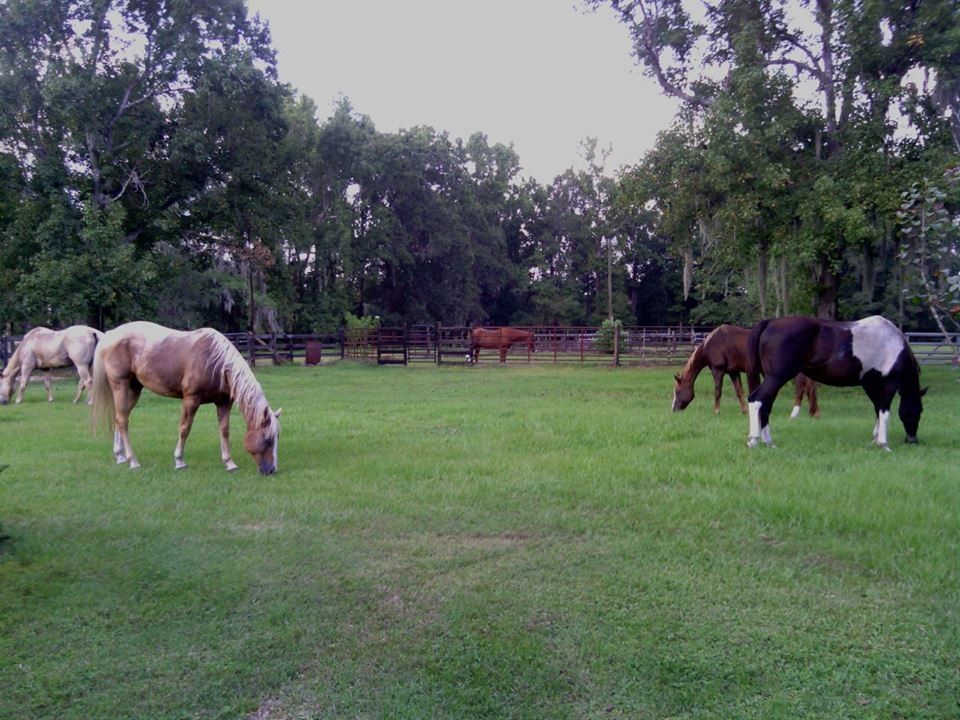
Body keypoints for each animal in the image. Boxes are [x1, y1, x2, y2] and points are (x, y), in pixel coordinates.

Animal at [91, 320, 282, 472]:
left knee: (119, 417)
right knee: (123, 421)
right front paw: (179, 461)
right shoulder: (191, 400)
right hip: (121, 386)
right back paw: (133, 461)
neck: (215, 362)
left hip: (133, 390)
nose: (271, 470)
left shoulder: (223, 403)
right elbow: (185, 428)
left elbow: (224, 431)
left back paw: (120, 456)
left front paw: (229, 463)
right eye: (268, 439)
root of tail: (110, 335)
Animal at [672, 324, 820, 420]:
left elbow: (718, 392)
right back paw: (813, 413)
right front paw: (745, 412)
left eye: (678, 392)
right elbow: (739, 392)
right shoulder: (733, 372)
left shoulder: (718, 370)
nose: (673, 410)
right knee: (810, 388)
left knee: (802, 388)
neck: (711, 343)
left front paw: (716, 412)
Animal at [748, 316, 928, 450]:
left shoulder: (870, 384)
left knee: (765, 406)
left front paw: (875, 439)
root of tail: (770, 323)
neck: (893, 343)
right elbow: (884, 411)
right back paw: (753, 440)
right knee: (755, 400)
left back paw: (768, 442)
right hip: (777, 378)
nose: (912, 440)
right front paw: (883, 444)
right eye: (919, 411)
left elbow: (877, 409)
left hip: (773, 379)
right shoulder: (888, 383)